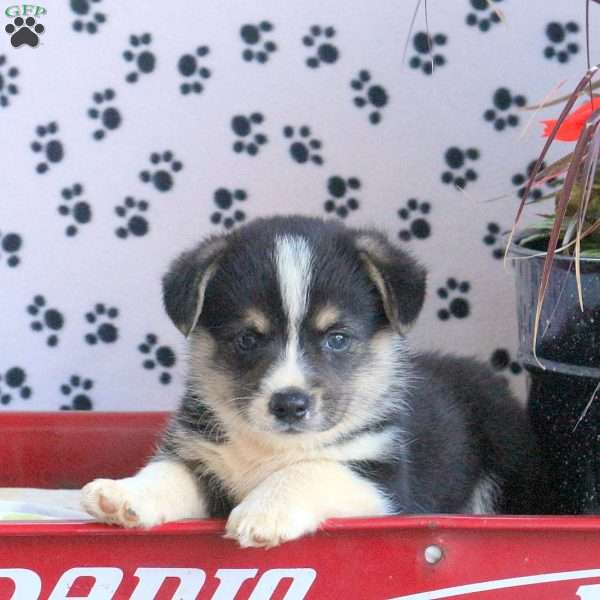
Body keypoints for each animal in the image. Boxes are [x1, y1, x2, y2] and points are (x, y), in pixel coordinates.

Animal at [82, 217, 536, 548]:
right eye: (247, 339)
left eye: (337, 338)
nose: (289, 404)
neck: (272, 449)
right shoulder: (204, 459)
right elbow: (170, 472)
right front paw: (122, 496)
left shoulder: (384, 483)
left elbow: (312, 469)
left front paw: (263, 512)